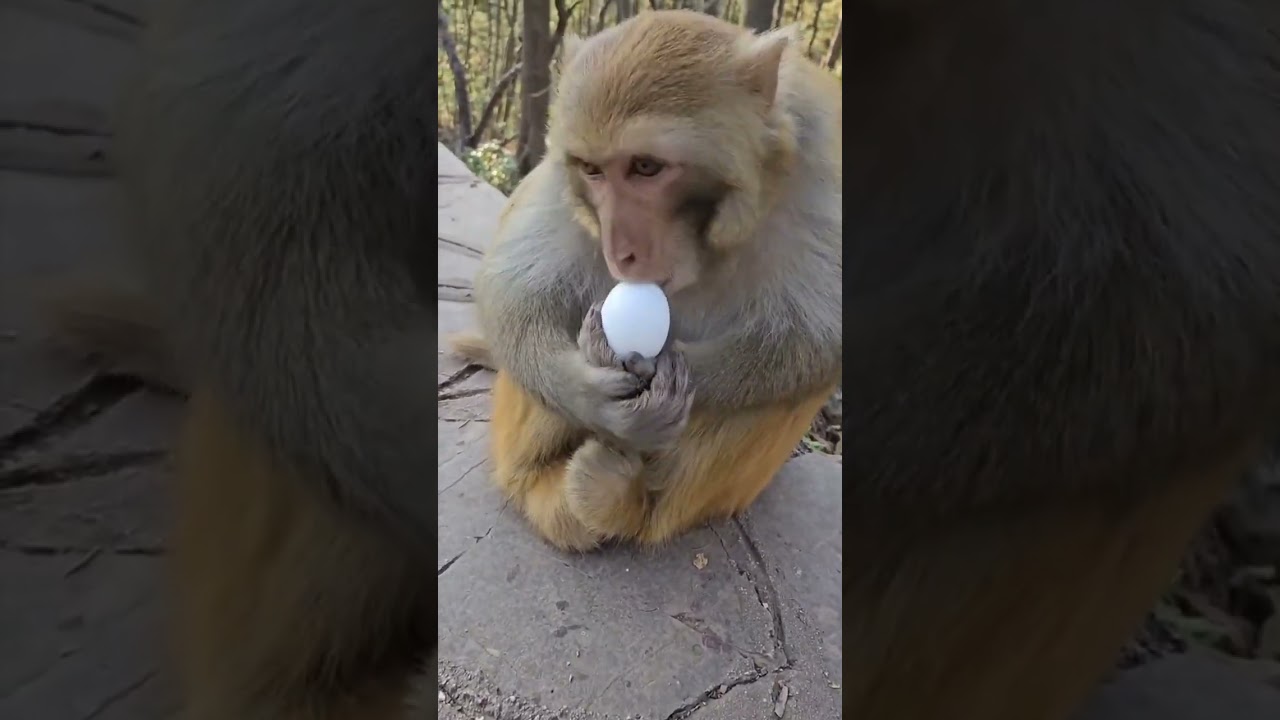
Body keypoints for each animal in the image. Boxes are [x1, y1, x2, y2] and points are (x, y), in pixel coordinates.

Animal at [452, 10, 843, 553]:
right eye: (592, 170)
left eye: (646, 167)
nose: (621, 250)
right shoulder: (560, 180)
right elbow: (513, 289)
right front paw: (592, 397)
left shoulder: (821, 165)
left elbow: (818, 337)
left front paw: (678, 373)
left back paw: (628, 500)